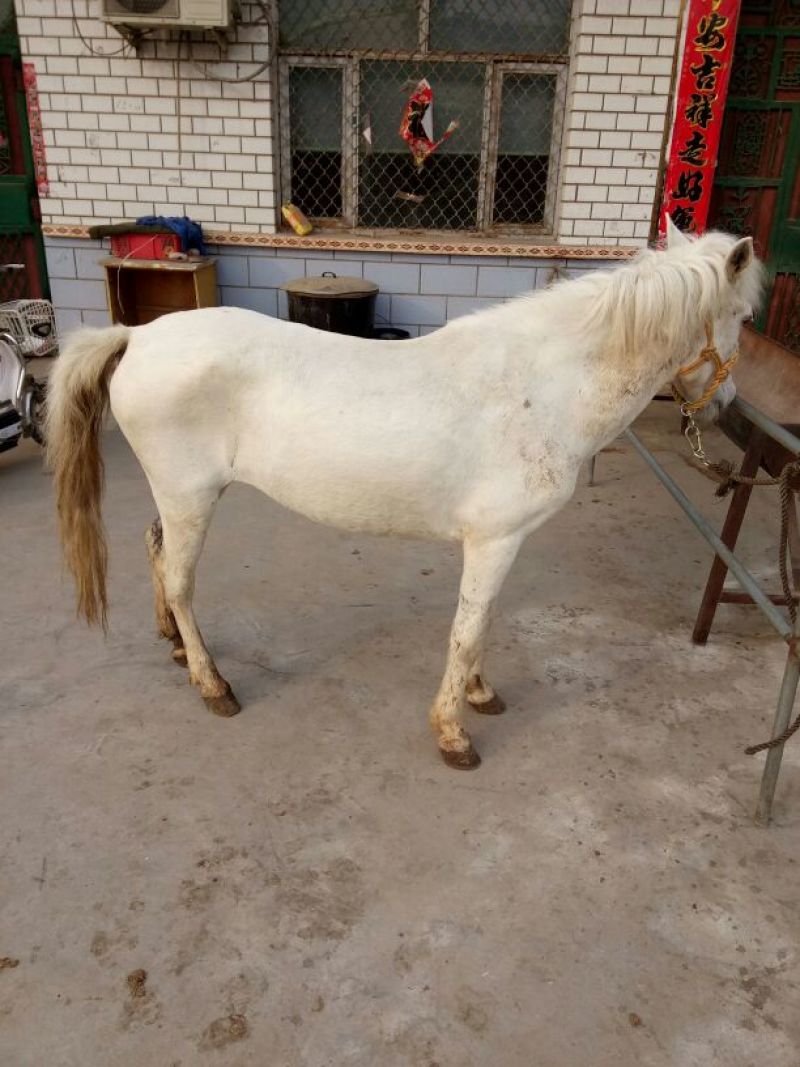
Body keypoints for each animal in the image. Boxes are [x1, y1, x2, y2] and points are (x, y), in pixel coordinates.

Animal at [45, 220, 762, 769]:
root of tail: (138, 335)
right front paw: (453, 732)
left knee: (155, 551)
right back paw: (211, 683)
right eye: (744, 316)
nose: (725, 404)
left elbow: (482, 622)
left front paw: (480, 695)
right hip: (191, 497)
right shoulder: (494, 540)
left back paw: (172, 643)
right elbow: (467, 631)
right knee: (180, 580)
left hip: (177, 497)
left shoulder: (500, 545)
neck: (542, 384)